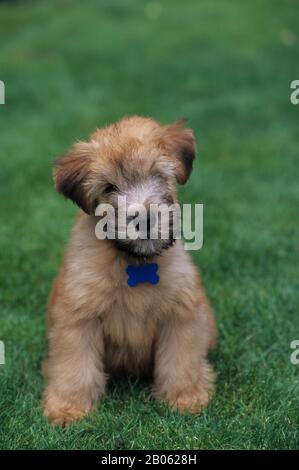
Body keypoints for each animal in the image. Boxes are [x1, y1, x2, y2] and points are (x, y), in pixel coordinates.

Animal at [42, 115, 216, 424]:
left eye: (157, 174)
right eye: (109, 187)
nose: (144, 218)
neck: (134, 261)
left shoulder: (181, 313)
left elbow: (181, 361)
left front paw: (185, 398)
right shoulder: (79, 317)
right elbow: (74, 367)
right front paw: (68, 407)